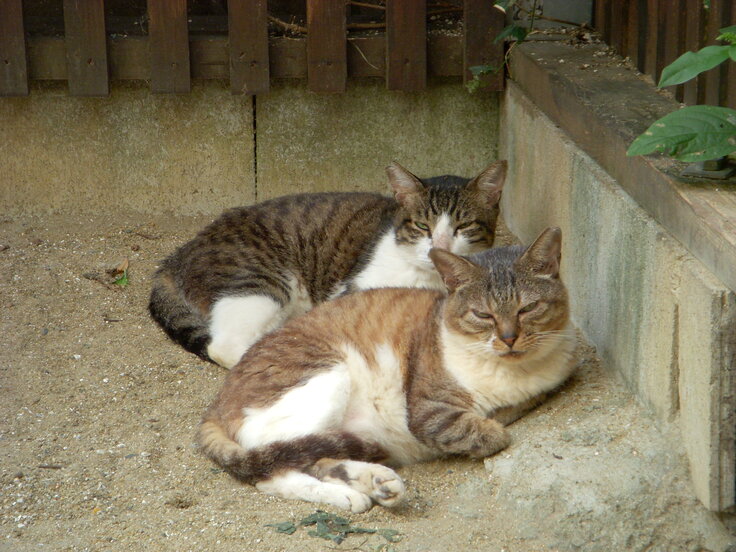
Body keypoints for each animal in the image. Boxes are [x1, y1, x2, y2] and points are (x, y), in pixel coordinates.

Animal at [149, 161, 507, 368]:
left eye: (464, 226)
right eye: (422, 227)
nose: (439, 248)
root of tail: (175, 257)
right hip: (258, 284)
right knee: (225, 345)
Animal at [197, 227, 575, 513]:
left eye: (527, 309)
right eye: (483, 315)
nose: (509, 338)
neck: (510, 373)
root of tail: (215, 406)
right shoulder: (428, 410)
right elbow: (488, 433)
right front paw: (491, 427)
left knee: (312, 455)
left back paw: (377, 483)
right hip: (326, 377)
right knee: (274, 467)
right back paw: (350, 493)